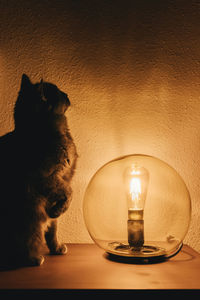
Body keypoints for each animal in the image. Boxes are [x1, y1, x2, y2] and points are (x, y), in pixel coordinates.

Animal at [0, 74, 77, 268]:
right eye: (58, 92)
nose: (67, 94)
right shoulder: (48, 178)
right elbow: (70, 192)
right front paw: (59, 209)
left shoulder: (64, 178)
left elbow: (53, 228)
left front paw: (57, 247)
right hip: (29, 215)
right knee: (27, 240)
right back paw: (33, 259)